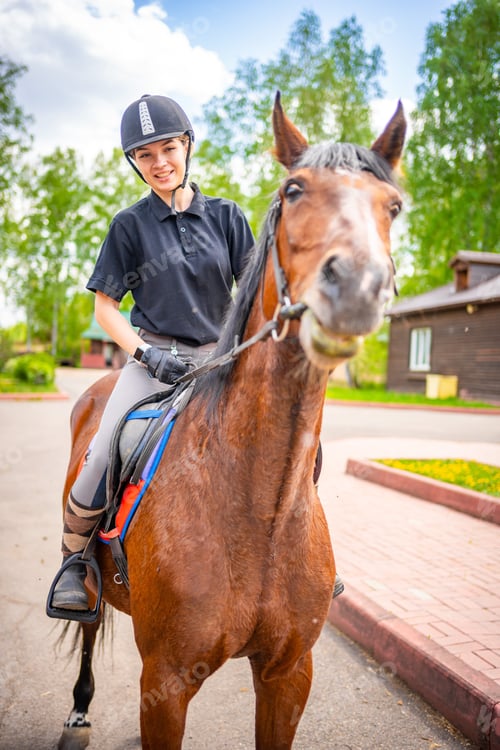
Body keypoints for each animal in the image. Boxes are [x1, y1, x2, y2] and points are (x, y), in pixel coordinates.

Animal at [55, 92, 406, 750]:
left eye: (392, 205)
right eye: (294, 189)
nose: (355, 290)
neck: (257, 506)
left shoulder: (288, 674)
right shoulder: (166, 681)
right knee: (87, 621)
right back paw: (79, 712)